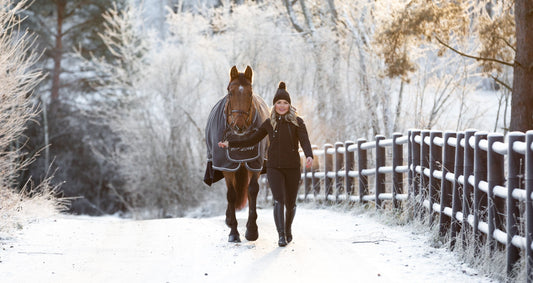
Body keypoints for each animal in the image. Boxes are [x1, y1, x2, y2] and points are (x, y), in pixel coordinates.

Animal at [204, 65, 270, 243]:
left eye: (250, 92)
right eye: (230, 92)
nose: (239, 126)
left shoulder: (254, 164)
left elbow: (252, 190)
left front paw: (252, 230)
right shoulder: (227, 166)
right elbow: (231, 195)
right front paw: (233, 232)